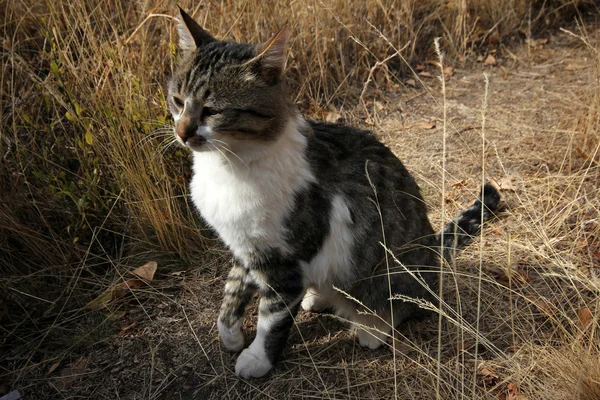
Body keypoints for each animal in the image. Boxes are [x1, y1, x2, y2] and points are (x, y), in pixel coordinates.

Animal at [166, 7, 500, 380]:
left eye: (212, 110)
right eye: (177, 101)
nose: (182, 132)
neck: (230, 166)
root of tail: (431, 247)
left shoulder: (287, 261)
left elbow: (272, 317)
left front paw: (258, 358)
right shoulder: (247, 247)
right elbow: (231, 294)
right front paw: (231, 336)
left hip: (390, 275)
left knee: (403, 302)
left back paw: (372, 327)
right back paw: (319, 297)